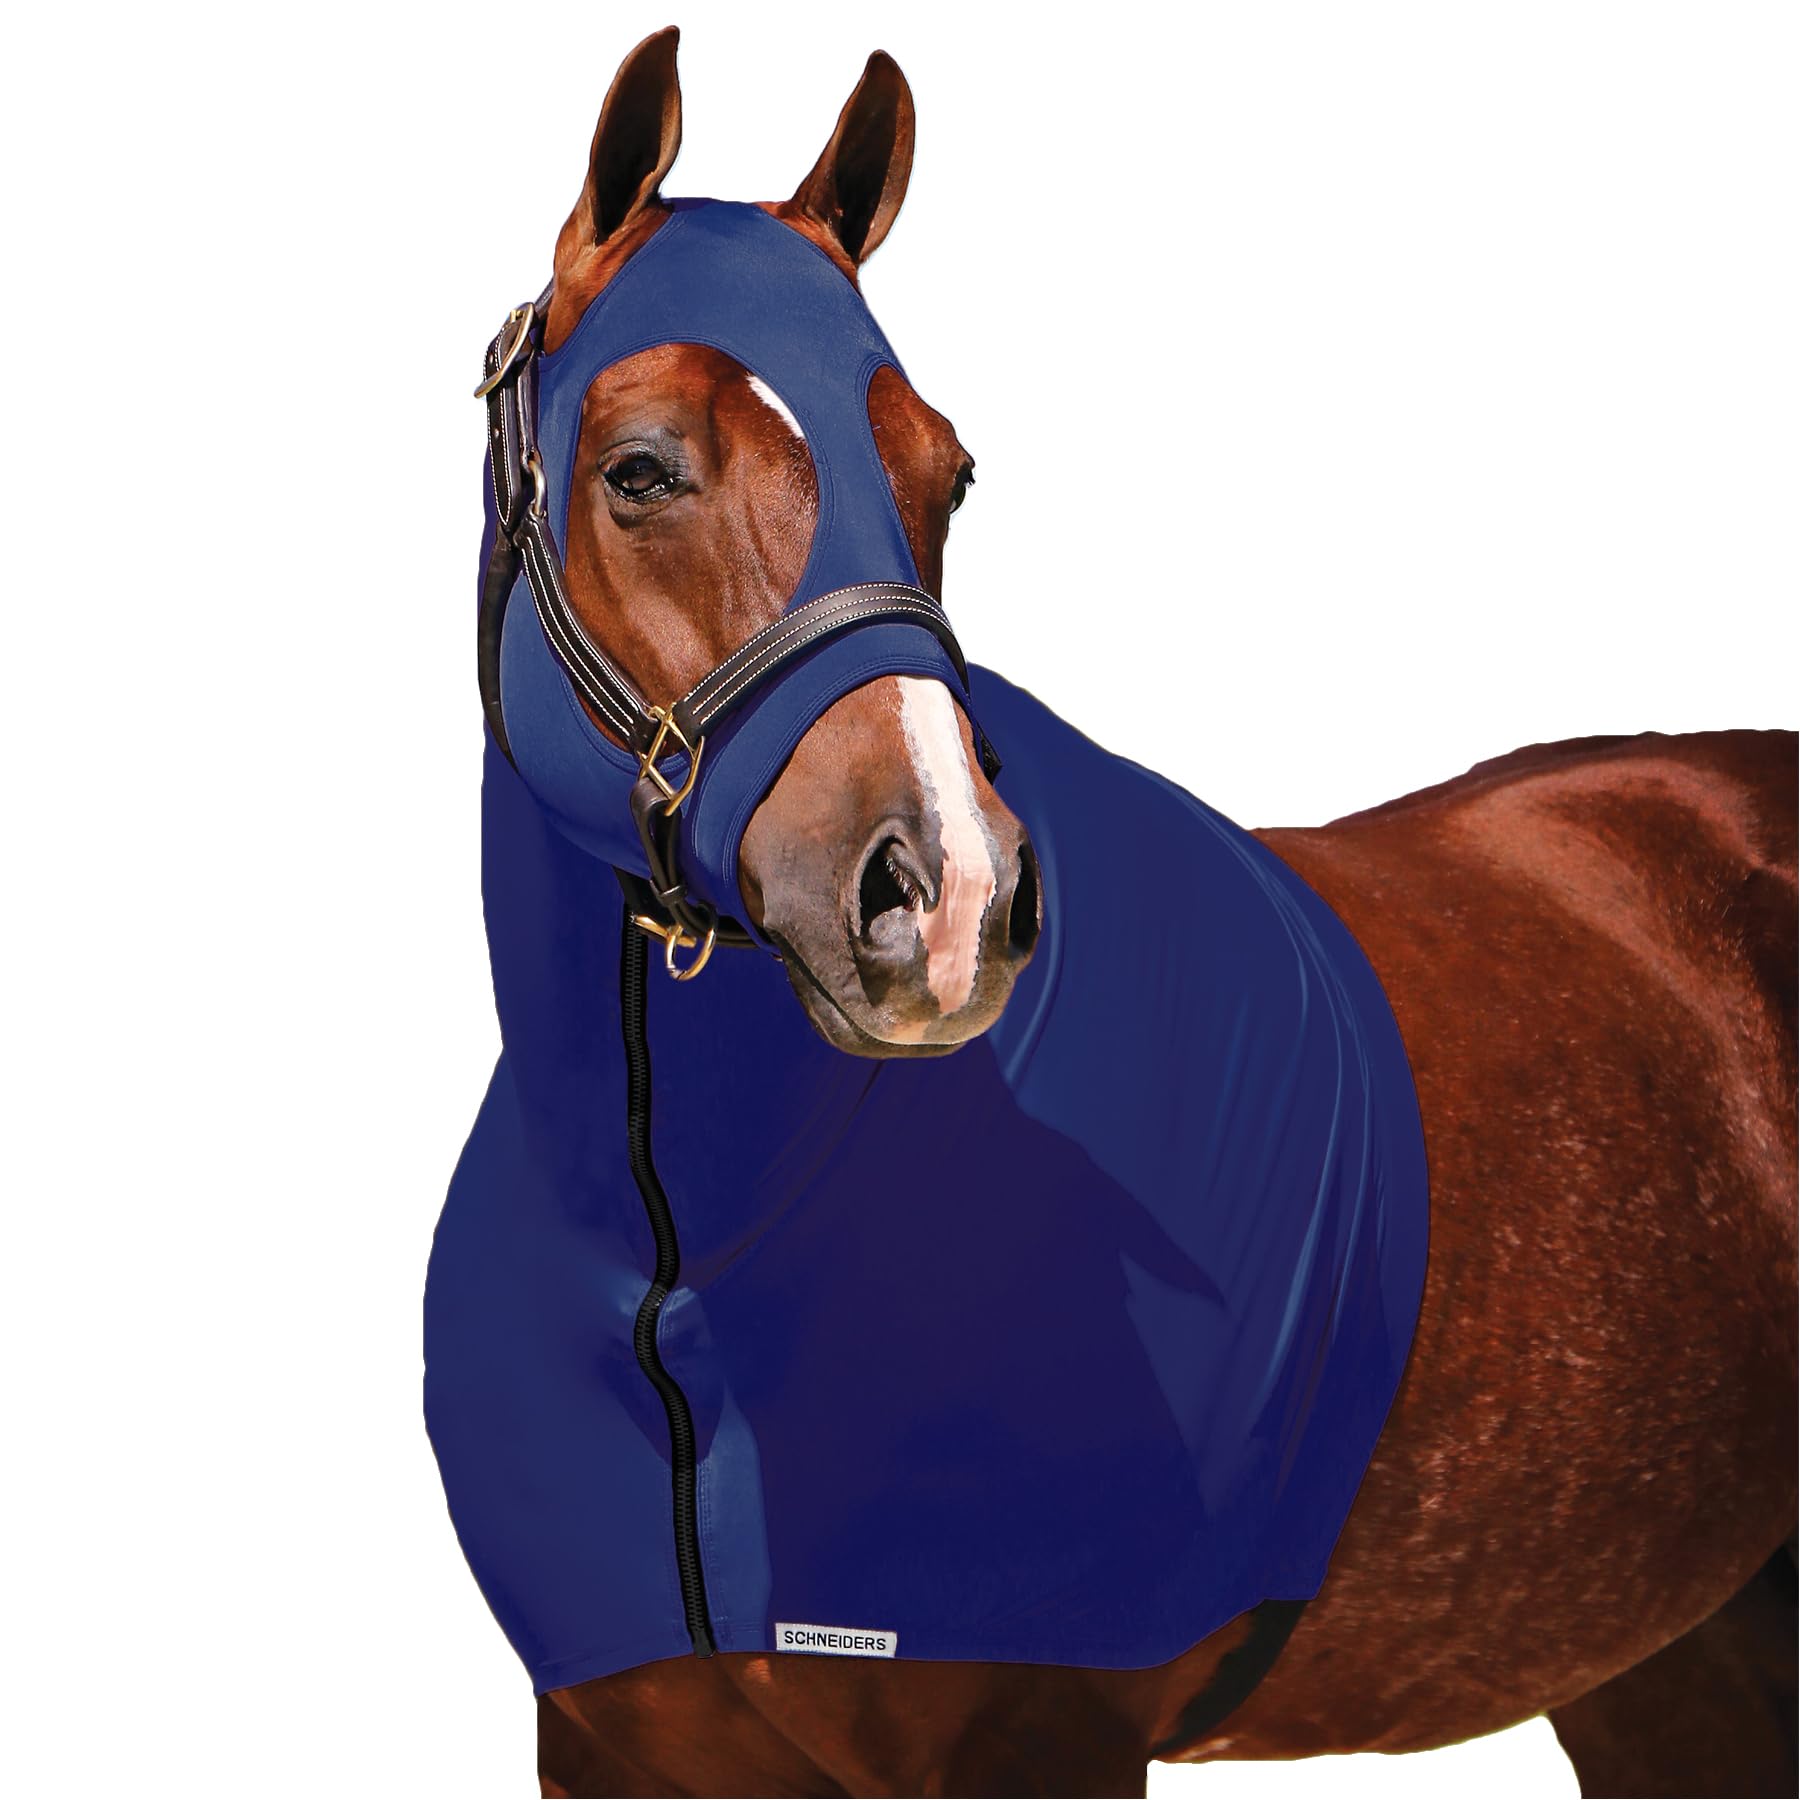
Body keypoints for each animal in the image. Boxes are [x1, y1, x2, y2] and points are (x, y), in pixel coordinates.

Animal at [431, 30, 1797, 1798]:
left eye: (946, 473)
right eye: (640, 470)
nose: (946, 897)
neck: (690, 1254)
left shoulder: (1043, 1738)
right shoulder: (615, 1749)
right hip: (1675, 1656)